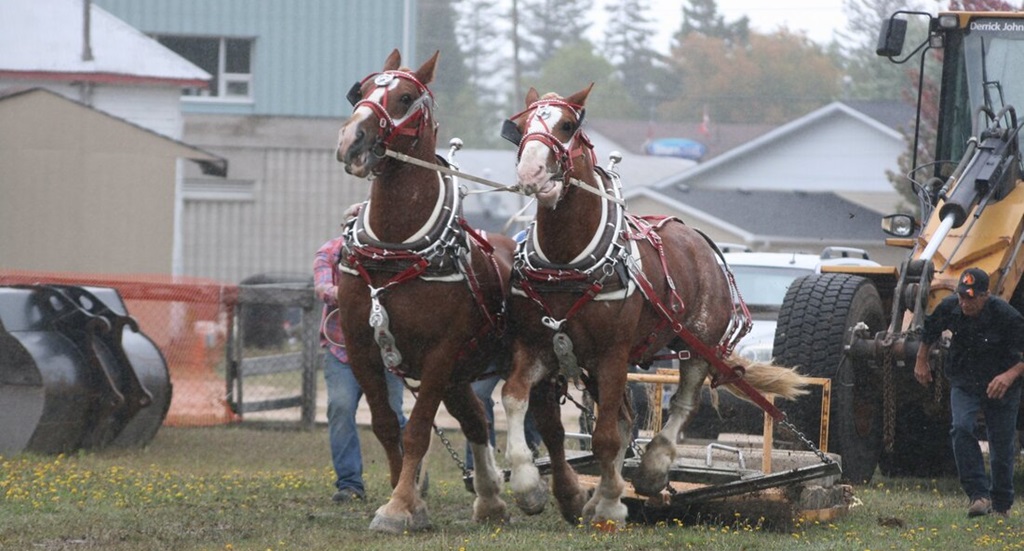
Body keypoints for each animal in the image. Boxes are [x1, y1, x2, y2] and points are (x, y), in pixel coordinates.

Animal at [334, 49, 515, 533]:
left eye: (405, 97)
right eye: (361, 90)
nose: (352, 141)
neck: (396, 247)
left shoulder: (439, 353)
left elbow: (416, 430)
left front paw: (398, 507)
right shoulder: (361, 347)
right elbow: (386, 427)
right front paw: (412, 503)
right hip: (461, 373)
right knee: (475, 419)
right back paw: (490, 499)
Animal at [499, 85, 811, 528]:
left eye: (567, 125)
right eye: (521, 127)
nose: (531, 173)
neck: (567, 262)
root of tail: (698, 239)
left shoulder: (612, 354)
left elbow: (606, 437)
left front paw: (610, 505)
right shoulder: (537, 347)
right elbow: (517, 400)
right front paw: (532, 487)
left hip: (698, 342)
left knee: (683, 402)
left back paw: (653, 468)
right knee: (624, 420)